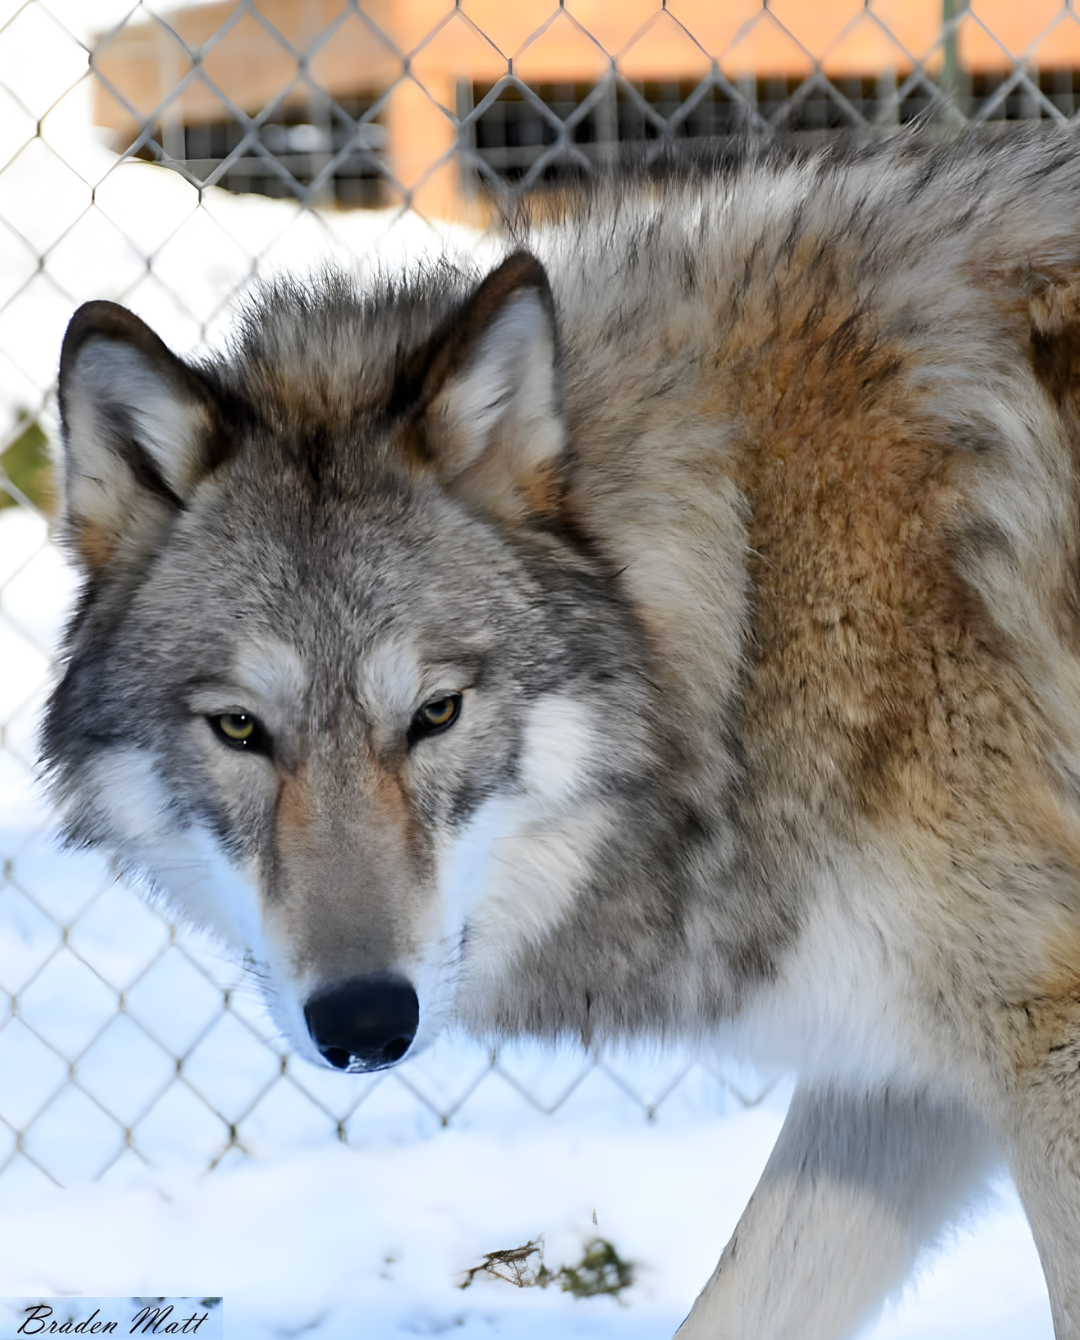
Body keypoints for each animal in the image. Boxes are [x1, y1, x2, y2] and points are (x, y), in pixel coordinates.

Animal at [41, 127, 1080, 1336]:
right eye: (242, 727)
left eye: (435, 714)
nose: (364, 1021)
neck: (761, 596)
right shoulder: (897, 1082)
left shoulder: (1042, 1050)